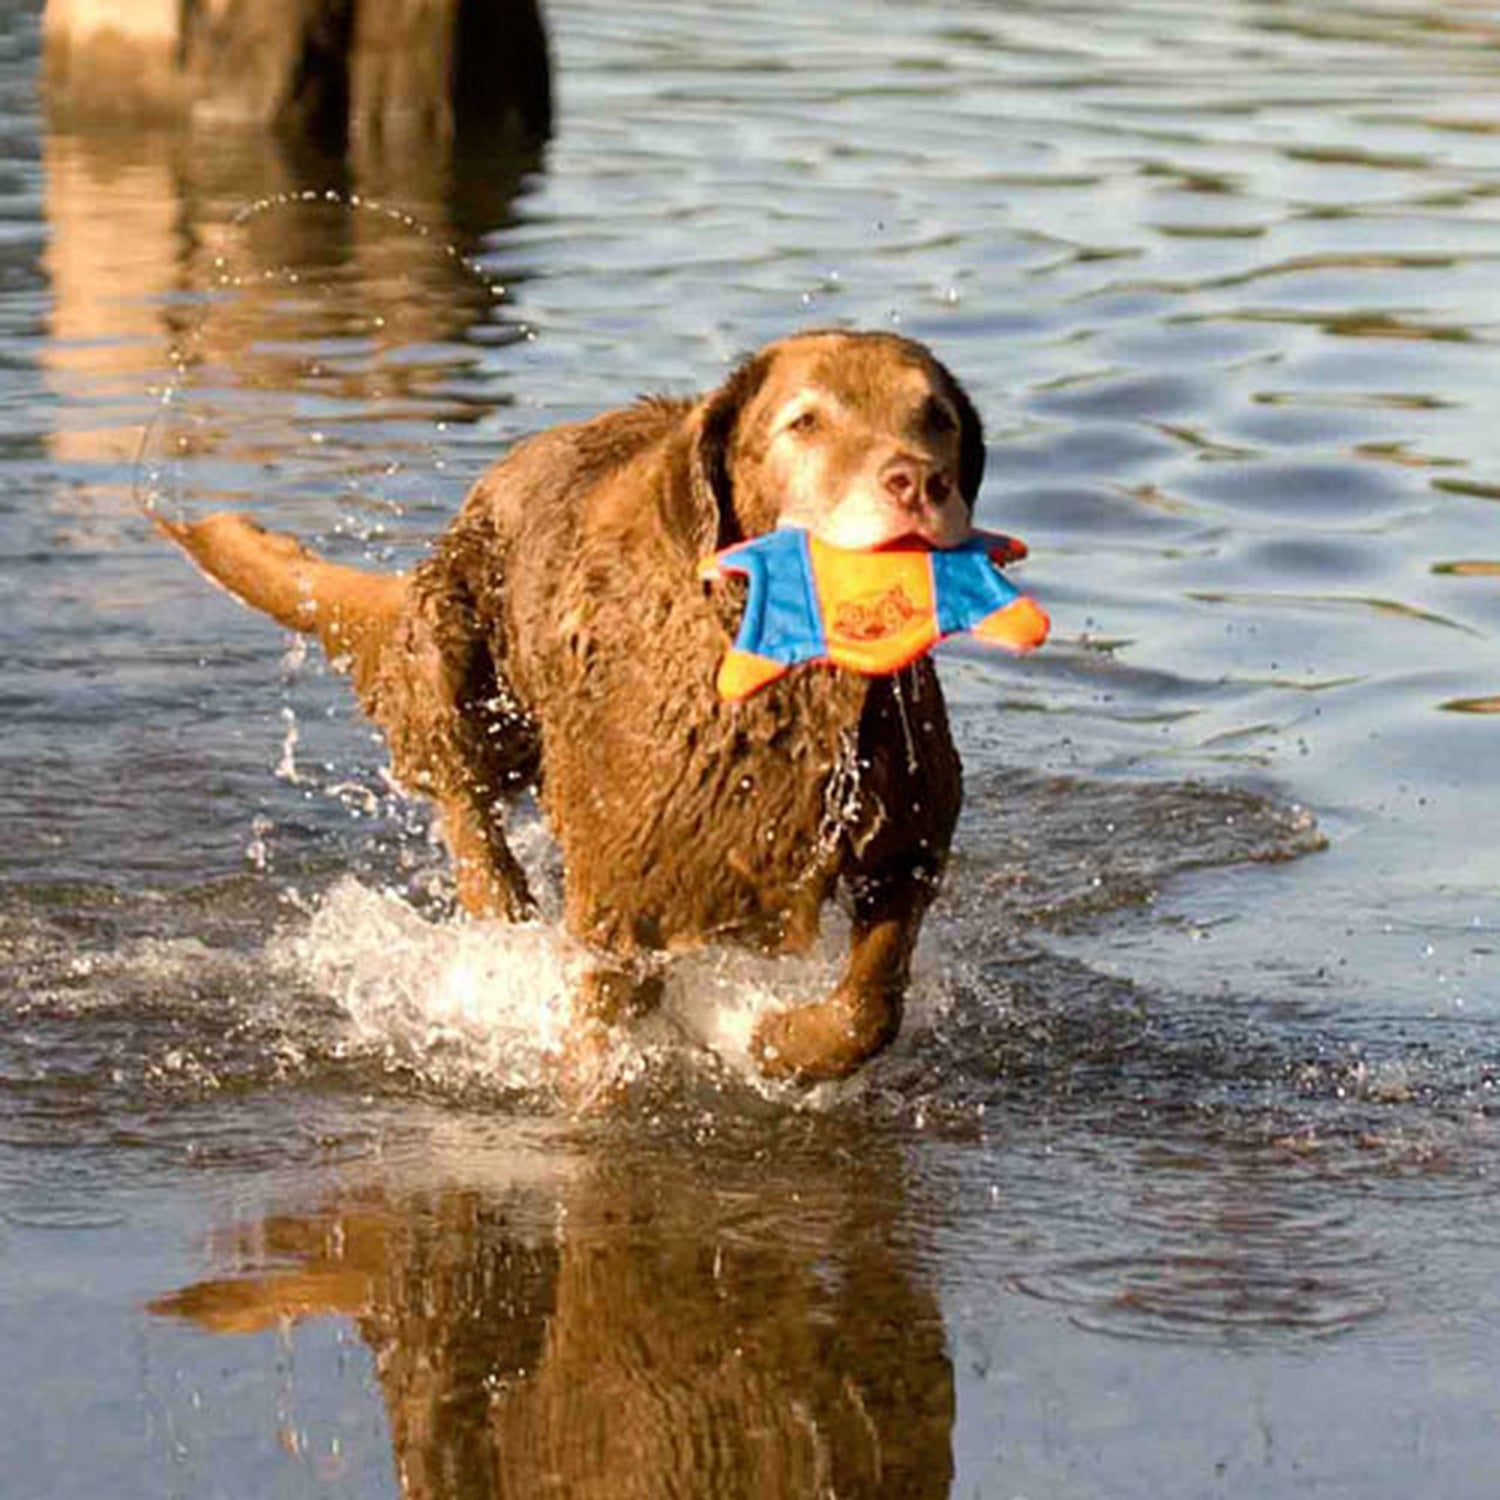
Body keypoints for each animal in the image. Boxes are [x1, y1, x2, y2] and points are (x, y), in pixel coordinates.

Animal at [161, 331, 984, 1080]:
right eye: (804, 422)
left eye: (936, 417)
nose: (918, 481)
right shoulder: (623, 881)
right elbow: (600, 1034)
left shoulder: (908, 835)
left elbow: (869, 1006)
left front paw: (775, 1041)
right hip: (454, 647)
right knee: (462, 800)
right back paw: (500, 909)